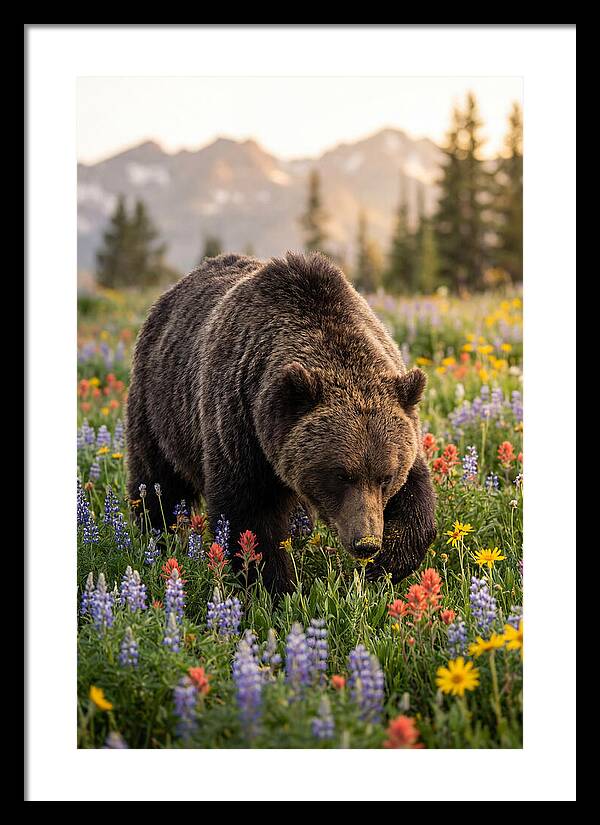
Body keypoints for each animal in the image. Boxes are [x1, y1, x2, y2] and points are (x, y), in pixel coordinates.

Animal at [126, 252, 436, 593]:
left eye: (386, 476)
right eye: (341, 475)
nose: (366, 542)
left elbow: (416, 497)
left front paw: (386, 565)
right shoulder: (240, 425)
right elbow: (249, 516)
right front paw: (274, 587)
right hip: (159, 409)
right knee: (157, 482)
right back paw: (155, 538)